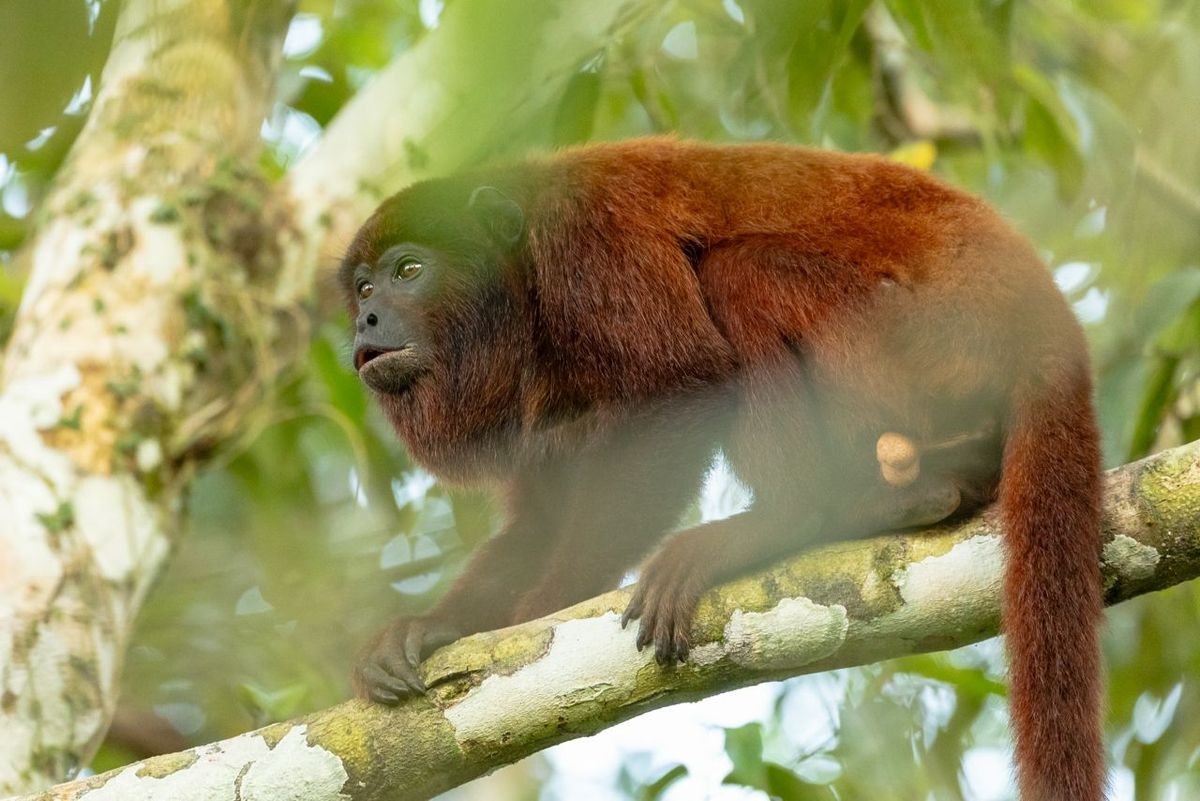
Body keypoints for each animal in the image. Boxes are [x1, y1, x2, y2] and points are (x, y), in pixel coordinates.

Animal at [340, 138, 1103, 801]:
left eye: (410, 270)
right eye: (364, 286)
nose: (364, 322)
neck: (521, 283)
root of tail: (1045, 320)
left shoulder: (589, 243)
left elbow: (686, 382)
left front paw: (545, 608)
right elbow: (541, 521)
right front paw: (434, 627)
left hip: (928, 342)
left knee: (742, 274)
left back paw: (786, 520)